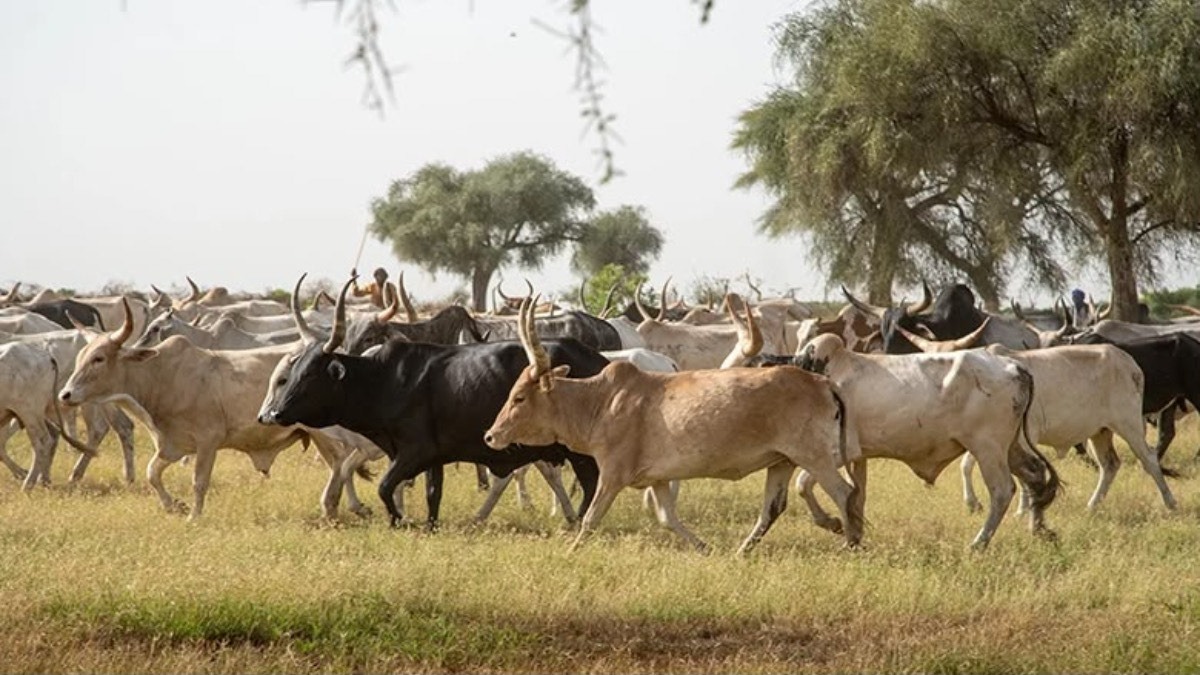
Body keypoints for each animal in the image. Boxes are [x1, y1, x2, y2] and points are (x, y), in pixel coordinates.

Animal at [58, 299, 366, 520]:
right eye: (81, 356)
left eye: (99, 359)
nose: (65, 394)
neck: (161, 376)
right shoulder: (171, 445)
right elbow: (152, 473)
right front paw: (174, 506)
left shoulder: (208, 441)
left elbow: (199, 481)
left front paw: (193, 516)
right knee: (341, 463)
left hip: (322, 431)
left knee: (342, 461)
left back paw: (334, 505)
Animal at [256, 275, 609, 530]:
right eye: (292, 372)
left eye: (309, 374)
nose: (274, 413)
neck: (386, 379)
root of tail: (599, 359)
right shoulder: (433, 457)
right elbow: (432, 494)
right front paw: (428, 525)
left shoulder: (414, 452)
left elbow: (385, 486)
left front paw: (398, 520)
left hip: (578, 451)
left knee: (591, 483)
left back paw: (579, 523)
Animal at [482, 294, 863, 554]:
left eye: (519, 398)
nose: (491, 435)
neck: (602, 401)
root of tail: (822, 383)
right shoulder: (659, 480)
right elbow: (667, 517)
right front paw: (706, 549)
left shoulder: (613, 475)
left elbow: (590, 519)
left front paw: (572, 551)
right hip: (781, 462)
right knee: (773, 508)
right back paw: (741, 552)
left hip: (814, 457)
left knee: (845, 493)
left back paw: (852, 544)